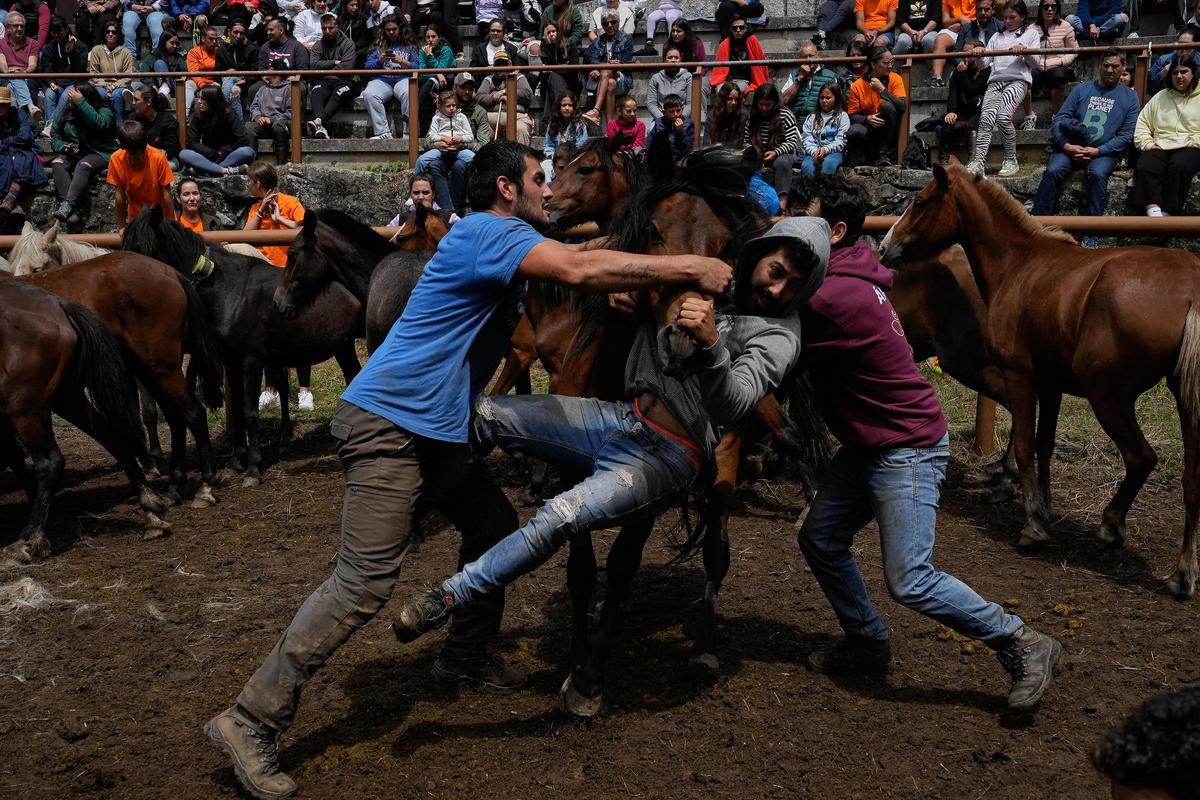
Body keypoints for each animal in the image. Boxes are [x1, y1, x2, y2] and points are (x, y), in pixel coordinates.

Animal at [0, 281, 171, 563]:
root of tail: (57, 304)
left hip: (25, 406)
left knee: (50, 462)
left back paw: (29, 540)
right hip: (66, 396)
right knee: (112, 436)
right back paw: (150, 510)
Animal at [883, 163, 1200, 597]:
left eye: (919, 201)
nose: (885, 246)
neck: (1021, 264)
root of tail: (1191, 289)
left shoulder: (1021, 378)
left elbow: (1024, 445)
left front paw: (1033, 524)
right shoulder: (1051, 386)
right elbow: (1044, 444)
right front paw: (1044, 507)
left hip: (1108, 398)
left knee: (1141, 458)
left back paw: (1110, 526)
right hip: (1185, 404)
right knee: (1192, 482)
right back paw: (1182, 574)